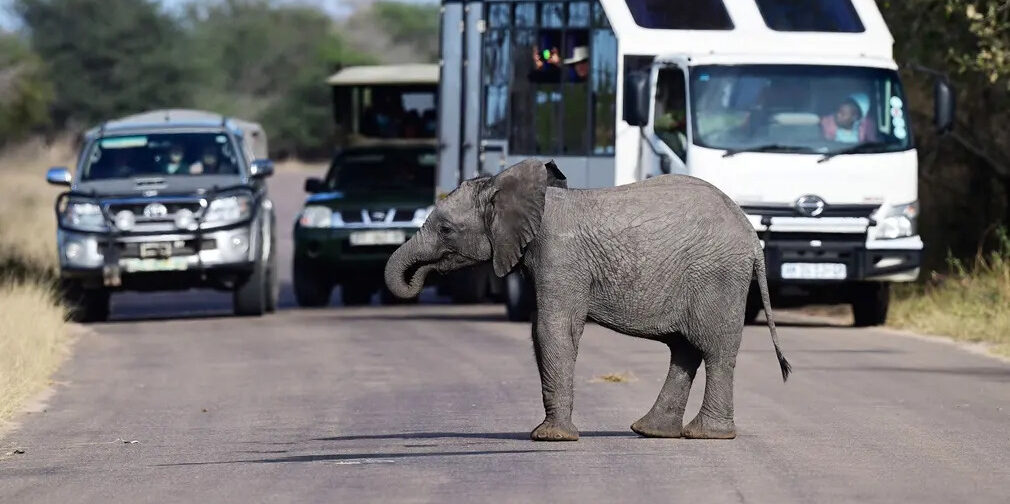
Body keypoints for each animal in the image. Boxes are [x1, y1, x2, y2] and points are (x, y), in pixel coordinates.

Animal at [385, 158, 787, 442]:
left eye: (445, 229)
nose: (422, 277)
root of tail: (750, 232)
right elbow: (541, 332)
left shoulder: (559, 257)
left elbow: (552, 331)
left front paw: (550, 438)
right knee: (685, 349)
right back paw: (650, 430)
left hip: (718, 276)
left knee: (715, 350)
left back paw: (707, 435)